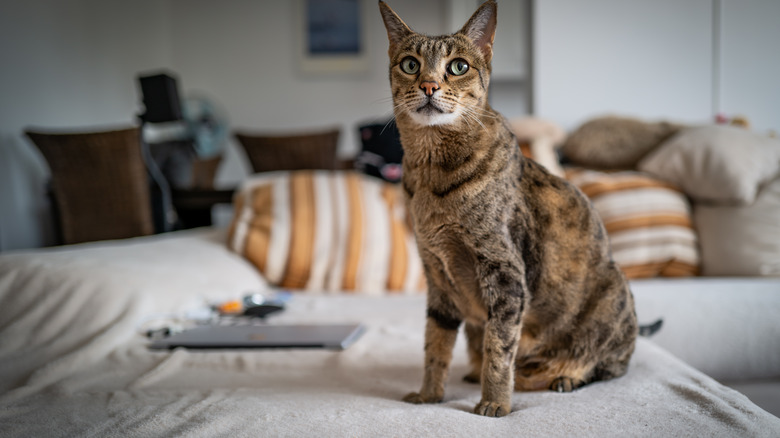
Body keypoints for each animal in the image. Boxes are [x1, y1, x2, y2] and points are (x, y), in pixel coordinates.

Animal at [378, 0, 640, 418]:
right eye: (409, 64)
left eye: (458, 66)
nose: (429, 86)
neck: (432, 177)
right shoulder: (436, 276)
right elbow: (435, 345)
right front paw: (429, 394)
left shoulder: (505, 274)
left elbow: (499, 348)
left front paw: (495, 403)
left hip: (614, 294)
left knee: (609, 364)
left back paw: (566, 376)